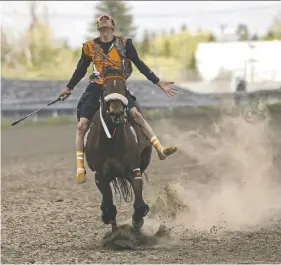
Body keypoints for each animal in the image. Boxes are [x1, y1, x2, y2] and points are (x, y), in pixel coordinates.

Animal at [84, 69, 152, 231]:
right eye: (104, 88)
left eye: (124, 87)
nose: (116, 113)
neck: (111, 143)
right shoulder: (100, 176)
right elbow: (108, 206)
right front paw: (109, 220)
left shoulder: (134, 171)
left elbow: (140, 205)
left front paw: (137, 221)